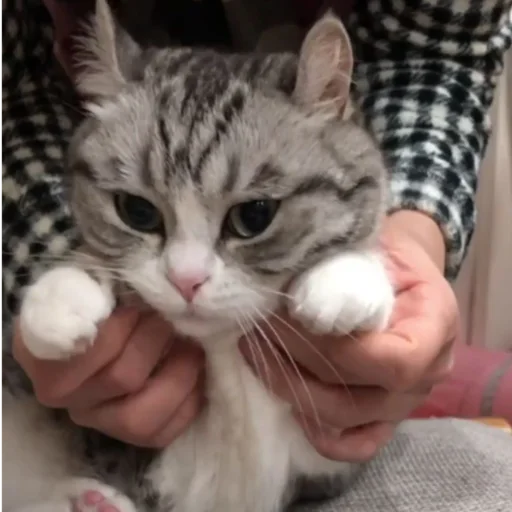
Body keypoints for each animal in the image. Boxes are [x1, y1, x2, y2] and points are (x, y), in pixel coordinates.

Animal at [2, 1, 395, 511]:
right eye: (137, 211)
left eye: (255, 215)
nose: (186, 280)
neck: (221, 353)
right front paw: (62, 296)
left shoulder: (327, 461)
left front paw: (344, 278)